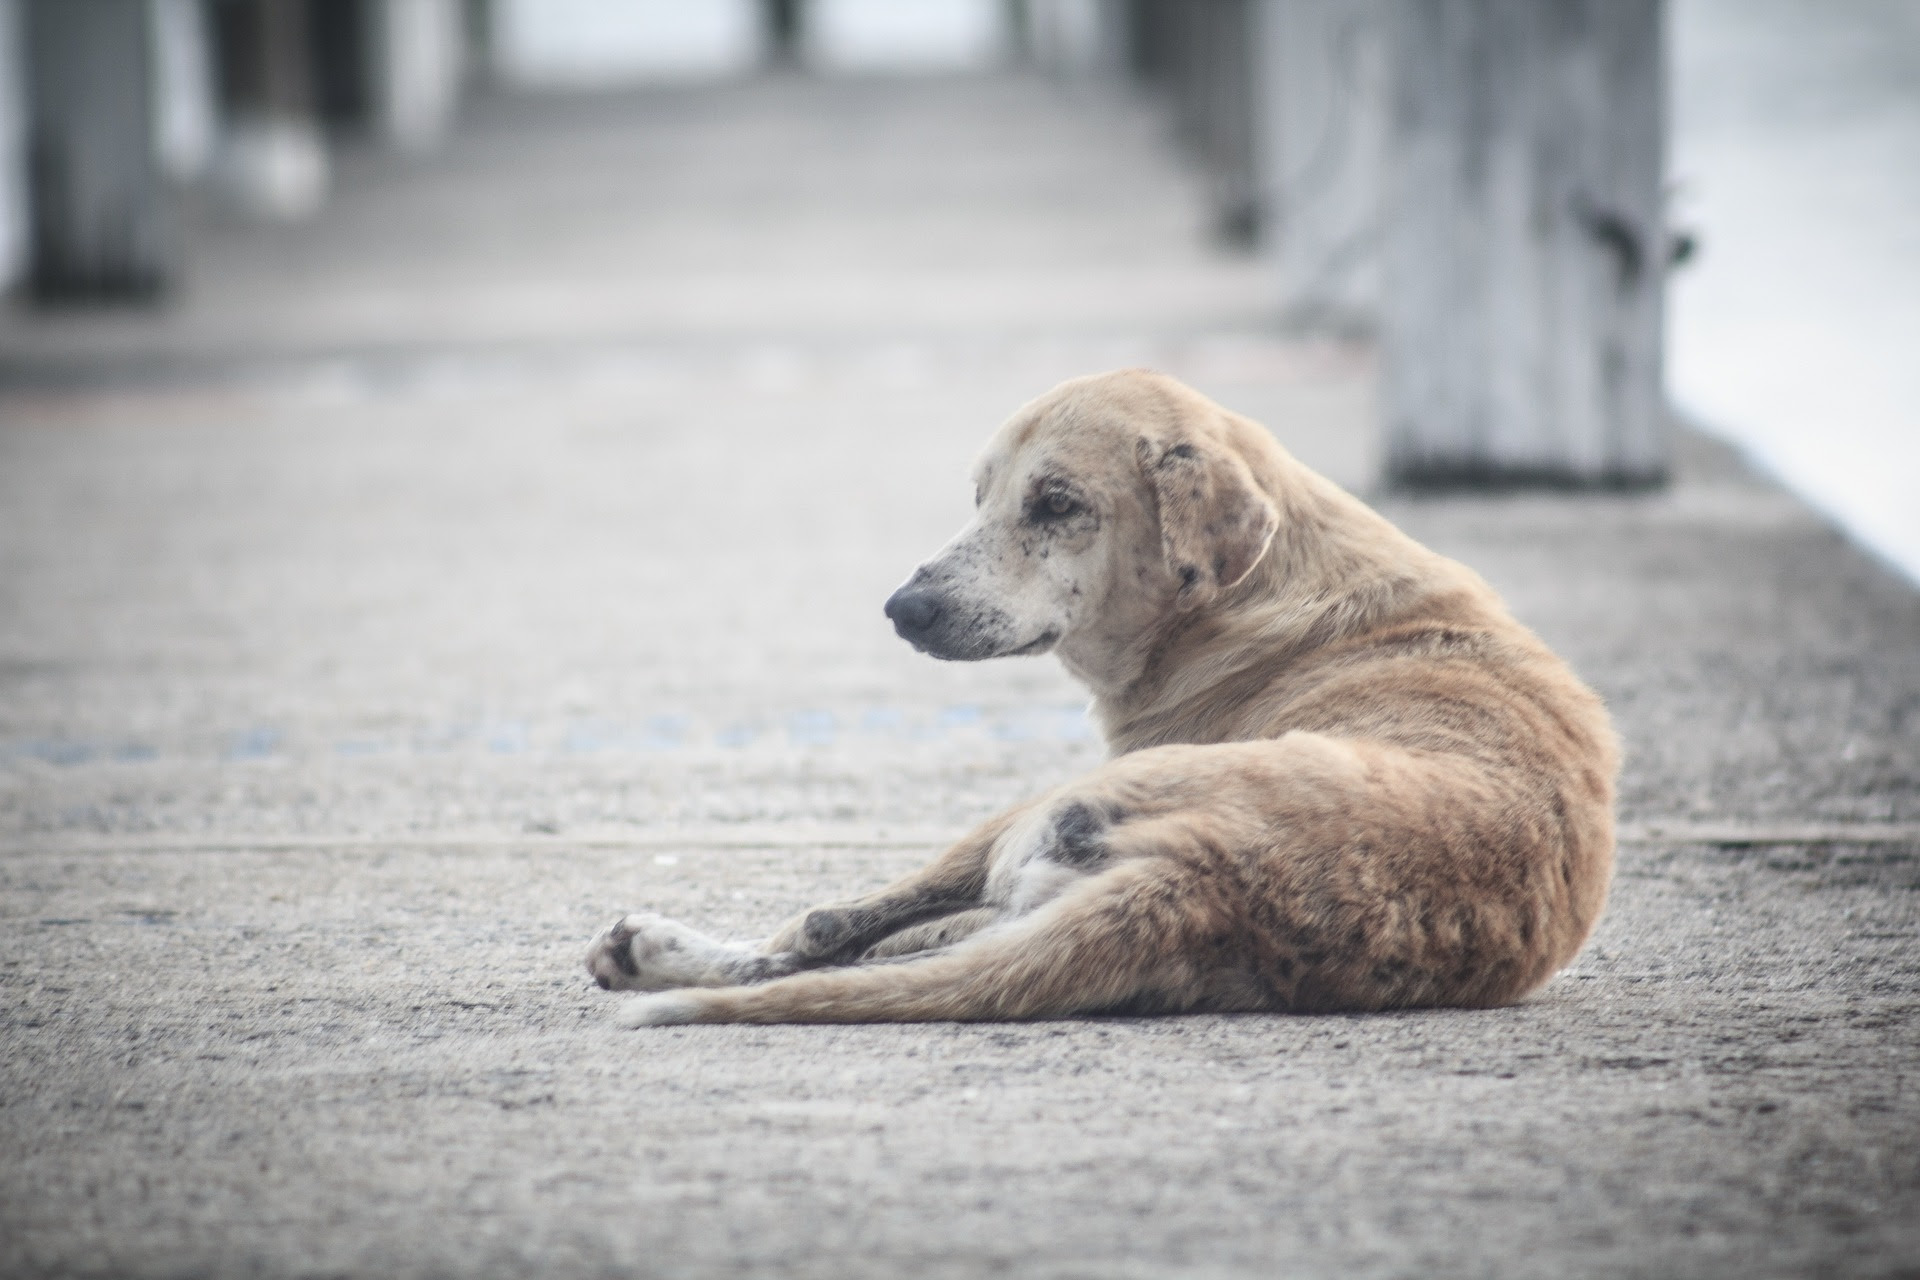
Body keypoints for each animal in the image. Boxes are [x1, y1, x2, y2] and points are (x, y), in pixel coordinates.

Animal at [587, 370, 1620, 1028]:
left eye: (1057, 504)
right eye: (980, 494)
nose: (901, 609)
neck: (1255, 590)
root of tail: (1204, 881)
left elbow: (834, 925)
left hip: (1035, 816)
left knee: (825, 937)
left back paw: (656, 954)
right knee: (897, 952)